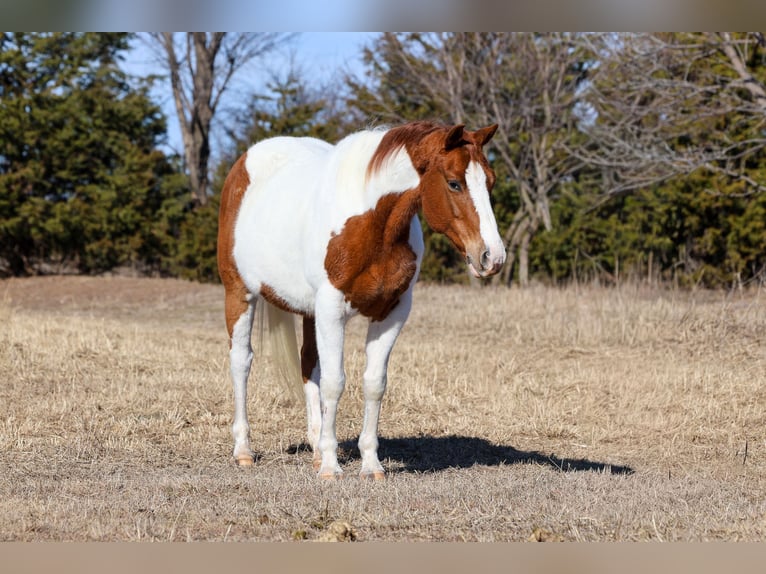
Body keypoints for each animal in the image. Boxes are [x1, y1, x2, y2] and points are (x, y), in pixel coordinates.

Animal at [217, 120, 505, 480]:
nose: (492, 257)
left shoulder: (392, 313)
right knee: (241, 362)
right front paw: (330, 466)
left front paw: (370, 465)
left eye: (490, 180)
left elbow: (373, 383)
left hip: (309, 312)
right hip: (238, 293)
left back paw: (314, 449)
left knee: (308, 364)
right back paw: (244, 450)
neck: (375, 226)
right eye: (454, 182)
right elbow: (334, 383)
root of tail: (246, 162)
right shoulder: (331, 309)